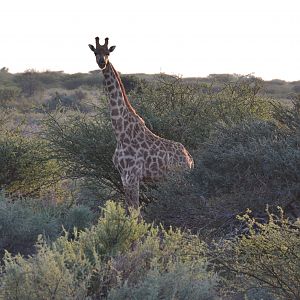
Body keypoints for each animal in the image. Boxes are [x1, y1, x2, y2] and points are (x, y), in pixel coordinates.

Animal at [88, 37, 193, 210]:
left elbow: (135, 211)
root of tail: (190, 159)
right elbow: (130, 209)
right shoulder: (123, 176)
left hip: (179, 177)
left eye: (108, 52)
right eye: (95, 52)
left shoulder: (132, 175)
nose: (102, 62)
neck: (120, 132)